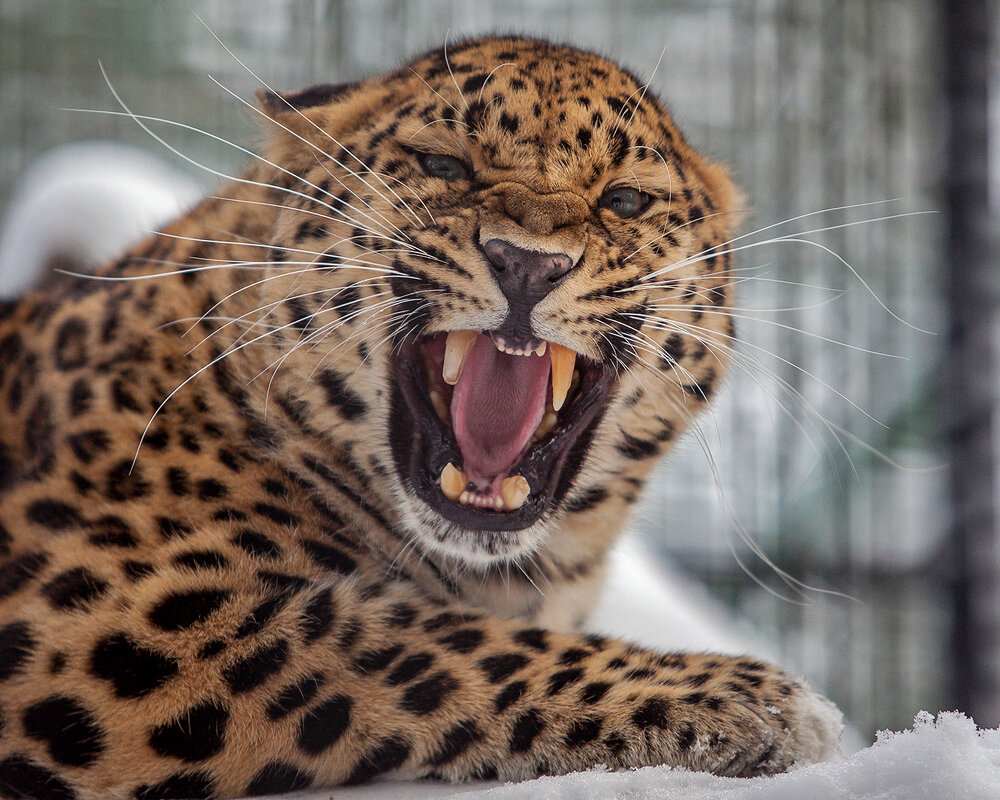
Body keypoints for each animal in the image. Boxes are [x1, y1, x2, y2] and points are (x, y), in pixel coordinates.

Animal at [0, 36, 844, 800]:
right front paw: (752, 701)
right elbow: (409, 643)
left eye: (625, 200)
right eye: (444, 167)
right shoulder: (100, 615)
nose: (528, 263)